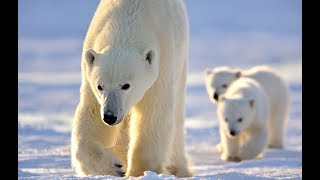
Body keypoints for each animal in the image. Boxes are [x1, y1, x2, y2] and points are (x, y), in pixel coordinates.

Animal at [71, 0, 192, 177]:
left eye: (126, 85)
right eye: (100, 86)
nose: (110, 116)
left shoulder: (163, 65)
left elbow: (153, 115)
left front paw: (139, 172)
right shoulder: (90, 77)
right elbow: (91, 113)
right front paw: (113, 166)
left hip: (181, 60)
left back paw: (178, 169)